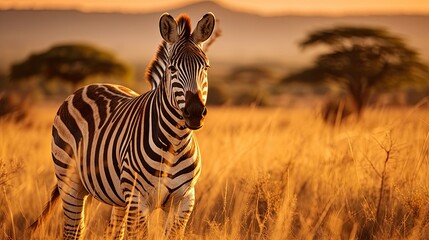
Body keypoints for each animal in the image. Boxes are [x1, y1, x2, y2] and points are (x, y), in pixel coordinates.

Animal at [30, 12, 216, 239]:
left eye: (205, 67)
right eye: (172, 68)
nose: (195, 113)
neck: (175, 141)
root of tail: (89, 85)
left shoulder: (185, 199)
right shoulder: (138, 199)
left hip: (117, 196)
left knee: (112, 231)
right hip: (70, 181)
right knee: (74, 230)